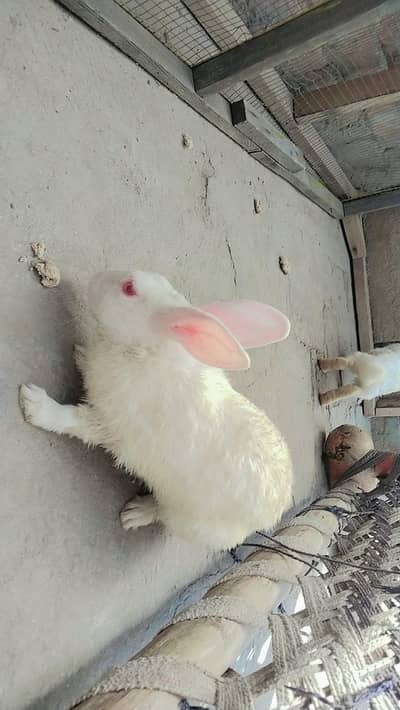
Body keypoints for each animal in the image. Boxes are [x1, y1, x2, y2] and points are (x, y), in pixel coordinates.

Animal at [19, 270, 293, 551]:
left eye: (129, 288)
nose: (95, 277)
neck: (145, 352)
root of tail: (273, 512)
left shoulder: (110, 425)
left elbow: (73, 421)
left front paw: (33, 404)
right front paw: (81, 355)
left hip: (186, 519)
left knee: (162, 514)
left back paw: (134, 514)